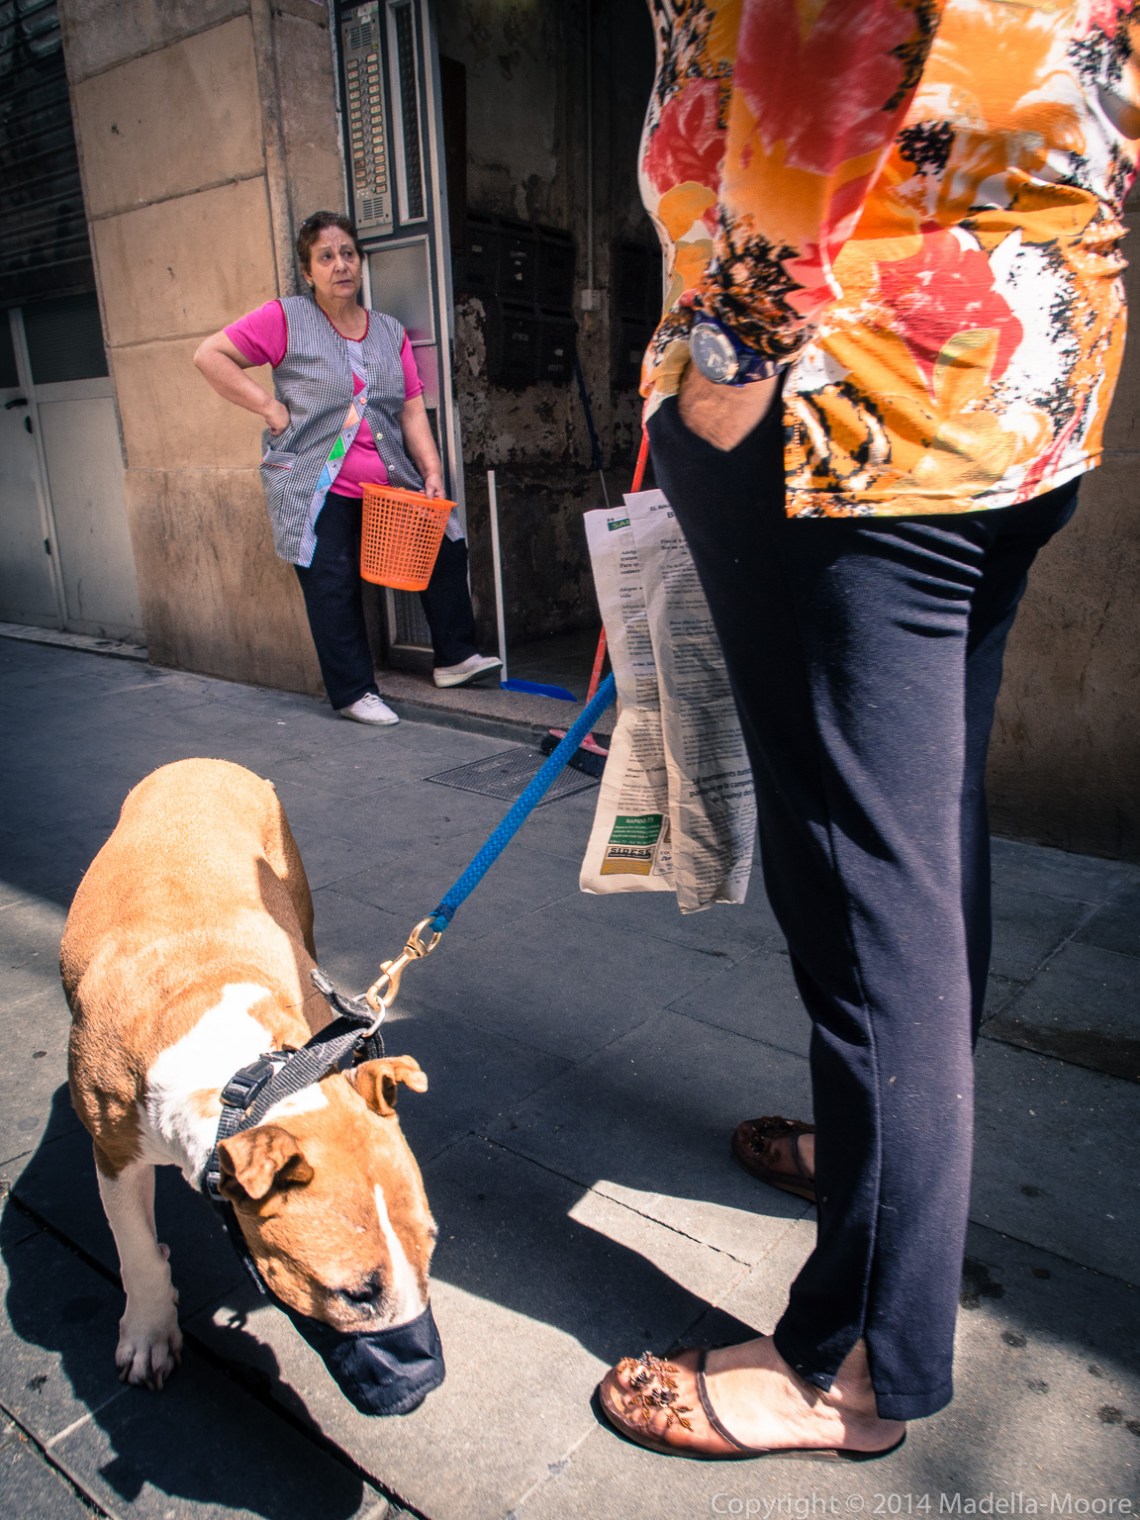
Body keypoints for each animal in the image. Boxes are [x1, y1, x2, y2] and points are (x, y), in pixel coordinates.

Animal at [61, 758, 437, 1396]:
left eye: (431, 1245)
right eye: (354, 1293)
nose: (429, 1381)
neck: (247, 1075)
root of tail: (202, 761)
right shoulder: (113, 1151)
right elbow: (135, 1248)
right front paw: (148, 1333)